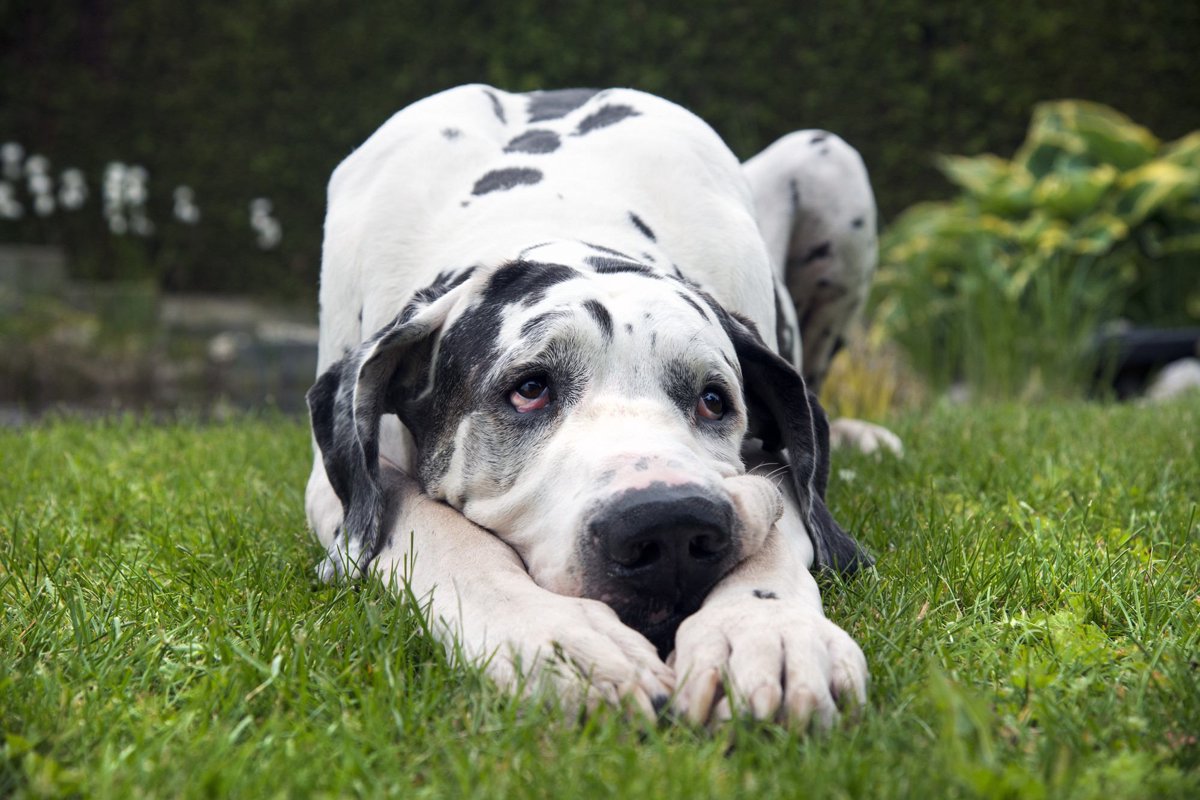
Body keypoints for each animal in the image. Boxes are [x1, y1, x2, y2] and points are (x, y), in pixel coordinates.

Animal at [304, 86, 897, 724]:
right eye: (529, 388)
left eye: (714, 399)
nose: (668, 528)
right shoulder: (335, 488)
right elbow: (432, 528)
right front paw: (557, 639)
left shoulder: (768, 459)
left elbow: (776, 517)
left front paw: (767, 630)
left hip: (828, 159)